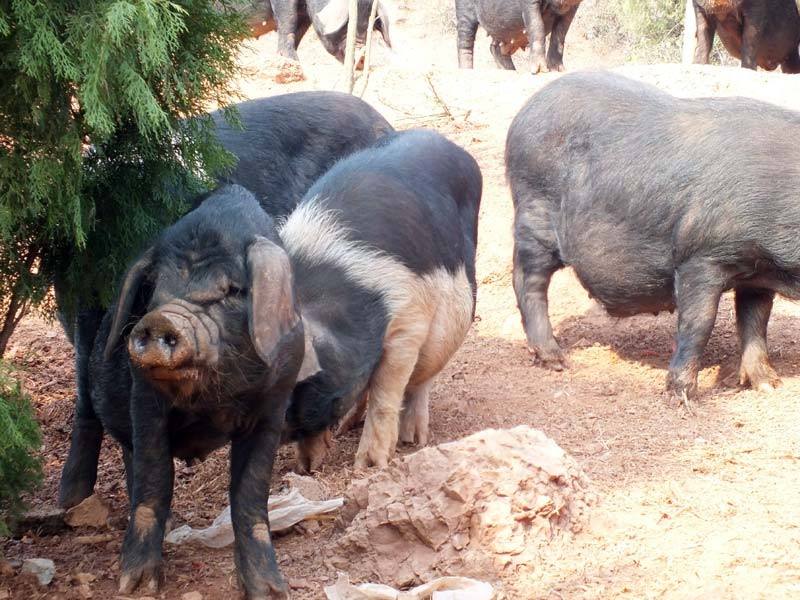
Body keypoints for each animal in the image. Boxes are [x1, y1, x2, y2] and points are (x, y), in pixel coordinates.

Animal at [454, 0, 584, 73]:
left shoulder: (572, 7)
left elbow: (560, 35)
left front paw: (559, 70)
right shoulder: (529, 3)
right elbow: (537, 26)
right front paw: (540, 71)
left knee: (495, 47)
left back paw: (509, 70)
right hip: (464, 11)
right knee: (465, 39)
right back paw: (465, 70)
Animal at [510, 72, 800, 406]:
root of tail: (525, 111)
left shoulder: (755, 272)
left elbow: (755, 321)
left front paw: (768, 386)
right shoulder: (700, 256)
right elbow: (700, 322)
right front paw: (683, 397)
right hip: (533, 214)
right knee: (528, 281)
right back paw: (556, 361)